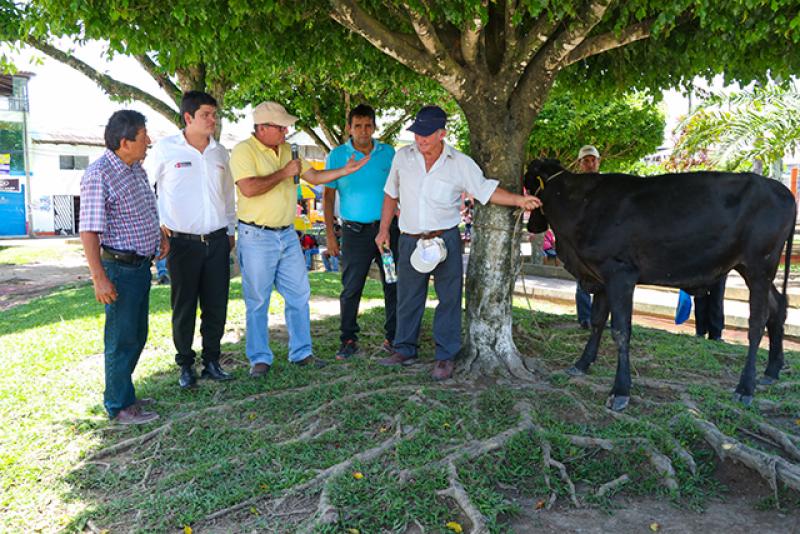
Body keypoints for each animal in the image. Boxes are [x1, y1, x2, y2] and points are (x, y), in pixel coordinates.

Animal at [524, 159, 792, 410]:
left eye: (527, 182)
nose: (530, 224)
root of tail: (781, 189)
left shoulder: (620, 273)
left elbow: (620, 330)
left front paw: (620, 391)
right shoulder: (601, 277)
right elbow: (597, 322)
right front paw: (582, 363)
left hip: (759, 266)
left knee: (757, 321)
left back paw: (745, 388)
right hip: (750, 268)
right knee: (778, 307)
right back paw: (771, 371)